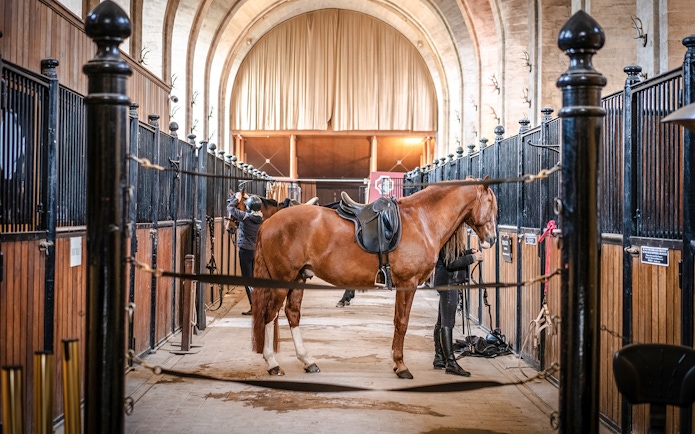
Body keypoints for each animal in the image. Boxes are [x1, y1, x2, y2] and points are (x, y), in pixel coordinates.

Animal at [251, 177, 498, 379]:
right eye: (492, 204)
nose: (492, 239)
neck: (421, 220)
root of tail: (269, 222)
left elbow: (399, 321)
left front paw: (398, 363)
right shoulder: (407, 284)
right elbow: (402, 323)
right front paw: (401, 366)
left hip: (298, 278)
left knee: (292, 314)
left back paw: (308, 361)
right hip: (283, 280)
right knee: (269, 314)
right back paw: (273, 364)